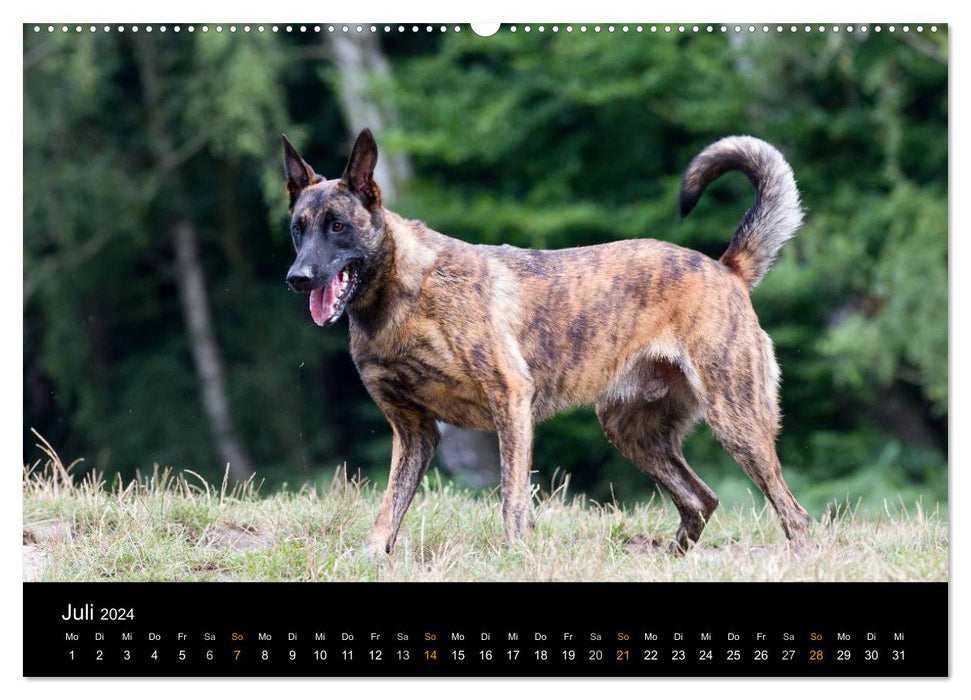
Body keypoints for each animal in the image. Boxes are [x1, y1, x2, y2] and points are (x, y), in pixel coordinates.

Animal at [282, 129, 812, 556]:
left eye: (338, 226)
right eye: (297, 228)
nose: (297, 279)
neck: (401, 297)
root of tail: (726, 268)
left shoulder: (510, 400)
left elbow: (511, 499)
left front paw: (517, 556)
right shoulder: (415, 433)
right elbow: (389, 508)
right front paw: (371, 557)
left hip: (736, 421)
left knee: (795, 514)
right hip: (632, 430)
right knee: (701, 500)